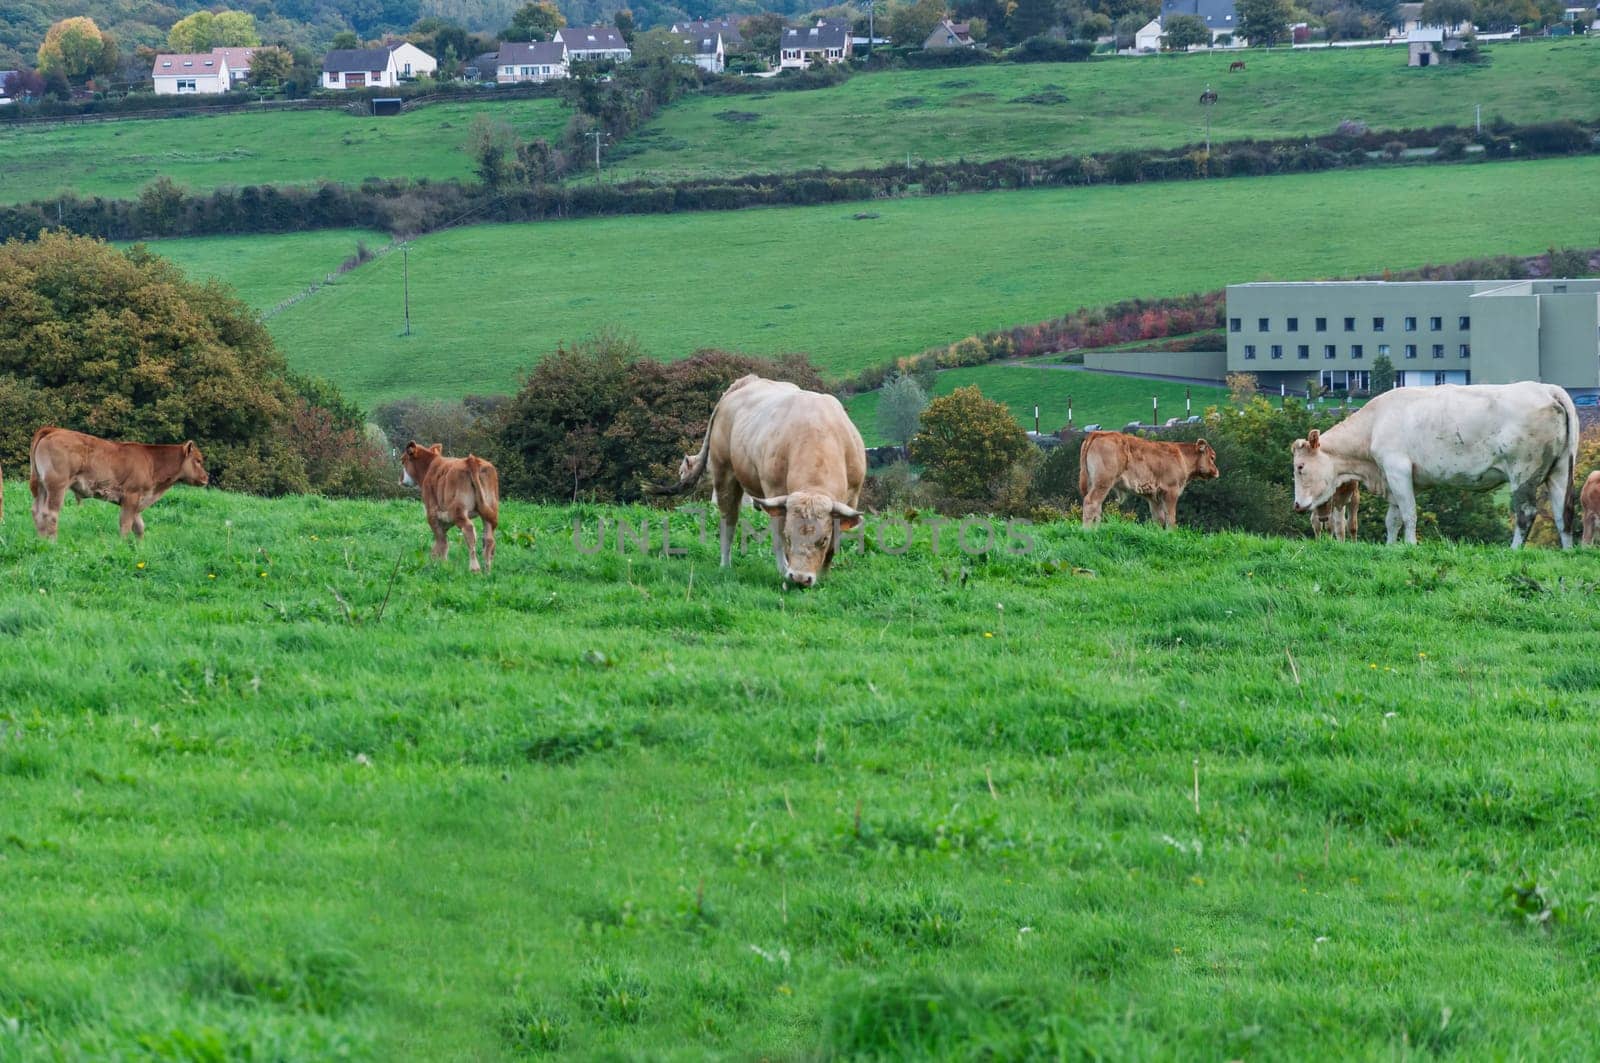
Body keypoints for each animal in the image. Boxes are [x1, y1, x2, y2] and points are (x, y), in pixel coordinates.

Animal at [400, 438, 499, 573]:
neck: (429, 468)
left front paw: (440, 564)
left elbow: (441, 539)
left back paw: (474, 568)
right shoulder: (445, 516)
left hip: (458, 510)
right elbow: (442, 539)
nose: (400, 479)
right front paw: (437, 559)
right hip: (489, 509)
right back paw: (487, 569)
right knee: (488, 538)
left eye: (402, 460)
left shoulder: (432, 513)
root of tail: (471, 460)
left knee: (468, 530)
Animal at [646, 376, 864, 589]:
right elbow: (777, 537)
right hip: (725, 473)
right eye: (789, 536)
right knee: (728, 522)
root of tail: (746, 381)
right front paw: (784, 571)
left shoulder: (852, 498)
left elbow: (836, 540)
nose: (800, 578)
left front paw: (825, 576)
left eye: (823, 540)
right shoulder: (774, 492)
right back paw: (726, 565)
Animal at [1081, 429, 1216, 528]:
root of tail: (1098, 433)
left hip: (1093, 484)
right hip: (1103, 483)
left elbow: (1158, 518)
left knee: (1097, 506)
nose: (1216, 471)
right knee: (1091, 502)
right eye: (1212, 457)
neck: (1181, 455)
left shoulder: (1153, 496)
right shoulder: (1171, 491)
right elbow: (1170, 517)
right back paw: (1088, 530)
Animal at [1286, 382, 1574, 547]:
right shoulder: (1392, 479)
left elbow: (1409, 514)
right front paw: (1391, 547)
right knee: (1564, 513)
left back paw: (1513, 550)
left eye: (1300, 467)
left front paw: (1410, 546)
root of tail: (1546, 388)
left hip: (1524, 472)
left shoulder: (1398, 470)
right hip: (1560, 469)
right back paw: (1568, 550)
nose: (1297, 505)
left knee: (1526, 514)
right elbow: (1392, 519)